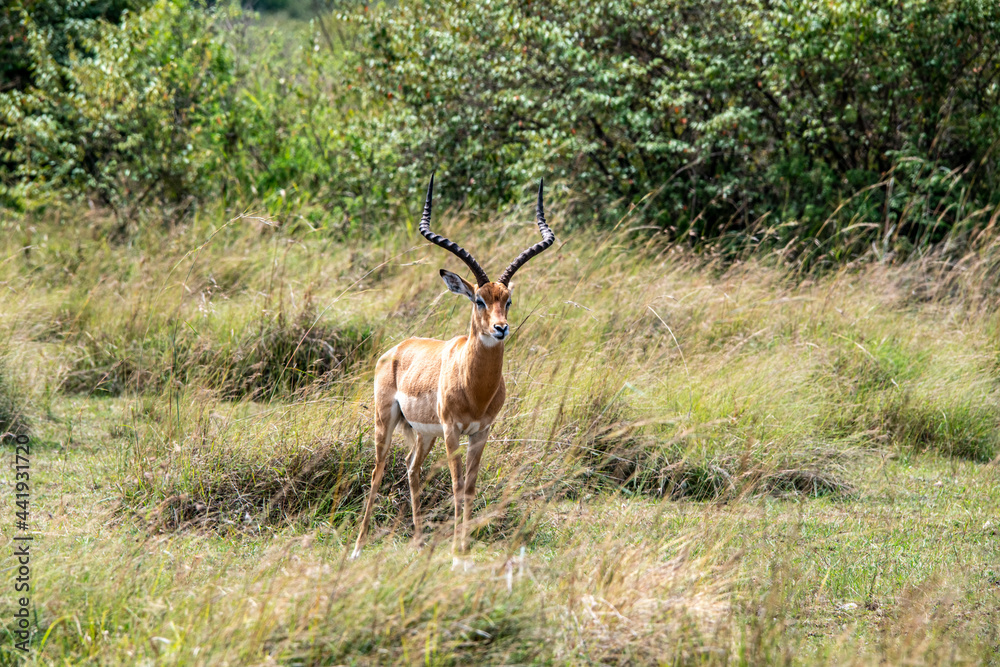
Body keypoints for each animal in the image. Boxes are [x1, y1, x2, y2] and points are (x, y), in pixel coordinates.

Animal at [352, 175, 554, 560]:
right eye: (479, 300)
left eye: (508, 300)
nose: (501, 328)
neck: (474, 386)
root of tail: (397, 349)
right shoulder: (452, 430)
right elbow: (457, 485)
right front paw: (458, 547)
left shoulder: (480, 432)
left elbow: (471, 487)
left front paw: (463, 543)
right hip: (387, 422)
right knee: (377, 471)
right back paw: (357, 547)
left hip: (424, 434)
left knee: (411, 468)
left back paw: (418, 540)